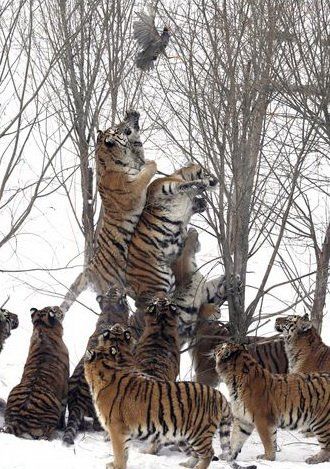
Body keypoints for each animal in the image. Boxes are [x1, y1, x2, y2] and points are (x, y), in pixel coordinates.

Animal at [3, 308, 69, 438]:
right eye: (54, 309)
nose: (58, 307)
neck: (42, 328)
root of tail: (18, 420)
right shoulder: (65, 389)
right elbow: (64, 409)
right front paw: (63, 427)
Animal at [60, 111, 158, 312]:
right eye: (116, 128)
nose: (130, 116)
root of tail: (87, 270)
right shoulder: (133, 190)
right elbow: (145, 173)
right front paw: (152, 164)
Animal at [62, 288, 130, 444]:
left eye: (112, 291)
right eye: (117, 291)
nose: (115, 286)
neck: (110, 311)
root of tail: (77, 399)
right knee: (97, 422)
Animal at [84, 324, 231, 468]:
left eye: (107, 334)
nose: (117, 325)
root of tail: (219, 395)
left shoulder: (116, 427)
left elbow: (119, 451)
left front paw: (117, 466)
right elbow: (124, 452)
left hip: (199, 433)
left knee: (209, 453)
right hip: (186, 435)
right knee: (196, 453)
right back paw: (187, 464)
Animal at [125, 163, 217, 312]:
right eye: (206, 171)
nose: (216, 181)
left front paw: (201, 201)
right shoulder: (164, 187)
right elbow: (183, 184)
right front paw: (200, 184)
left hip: (168, 282)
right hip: (157, 284)